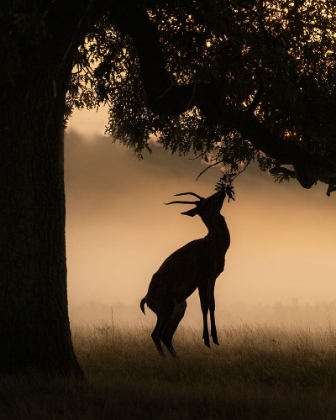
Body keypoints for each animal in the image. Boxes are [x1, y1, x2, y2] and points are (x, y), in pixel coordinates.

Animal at [140, 190, 231, 358]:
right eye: (205, 202)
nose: (221, 192)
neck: (214, 247)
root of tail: (146, 300)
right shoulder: (201, 277)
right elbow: (204, 306)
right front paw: (206, 340)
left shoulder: (212, 278)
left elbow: (212, 305)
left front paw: (215, 338)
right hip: (166, 308)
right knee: (156, 334)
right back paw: (165, 359)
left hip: (179, 307)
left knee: (166, 335)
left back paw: (176, 358)